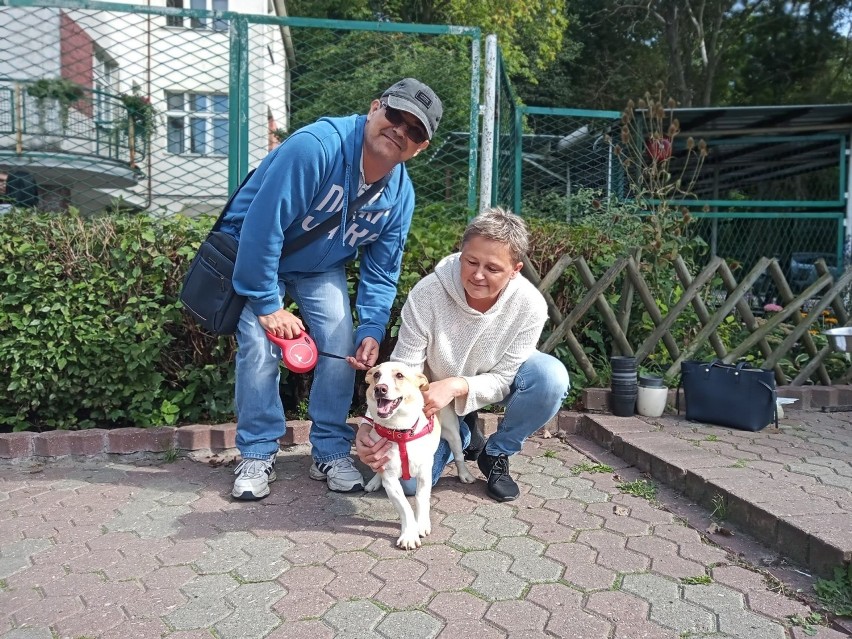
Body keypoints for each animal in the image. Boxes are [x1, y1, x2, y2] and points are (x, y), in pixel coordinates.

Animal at [362, 362, 476, 548]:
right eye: (377, 375)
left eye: (399, 375)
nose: (380, 388)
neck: (400, 431)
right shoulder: (390, 478)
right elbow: (404, 506)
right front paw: (409, 534)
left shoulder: (424, 473)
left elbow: (421, 499)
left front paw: (421, 524)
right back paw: (374, 481)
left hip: (453, 433)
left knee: (459, 456)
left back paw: (465, 474)